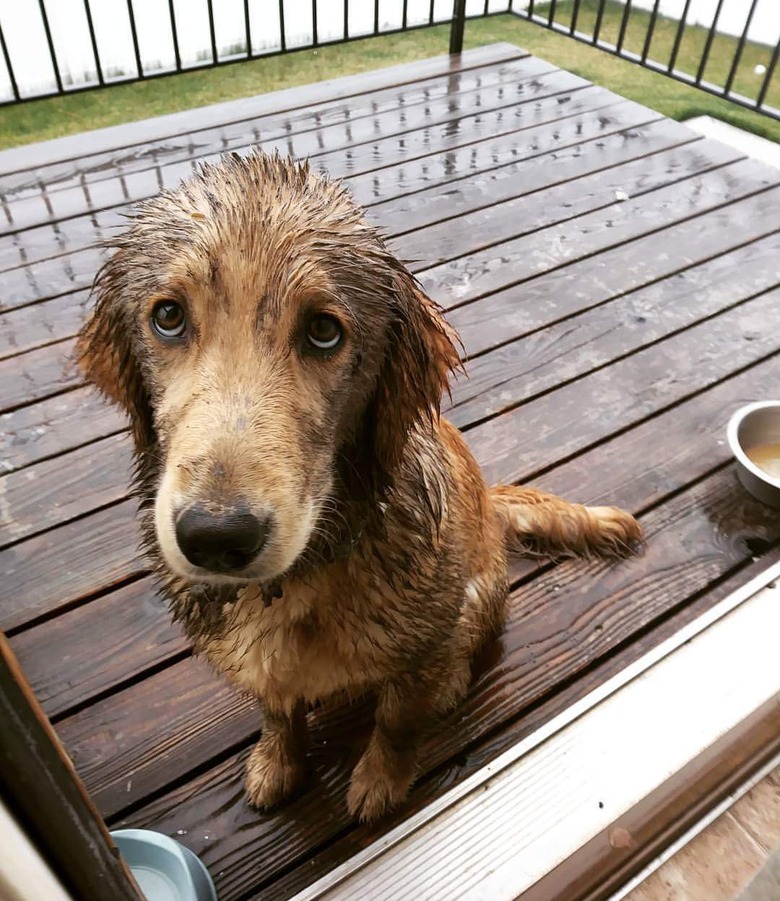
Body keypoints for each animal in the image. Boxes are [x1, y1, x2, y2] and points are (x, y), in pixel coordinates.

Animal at [76, 153, 644, 824]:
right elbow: (277, 708)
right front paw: (278, 760)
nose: (216, 537)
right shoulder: (265, 671)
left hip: (478, 595)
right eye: (167, 317)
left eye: (324, 332)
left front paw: (380, 778)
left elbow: (398, 718)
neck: (302, 578)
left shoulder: (424, 638)